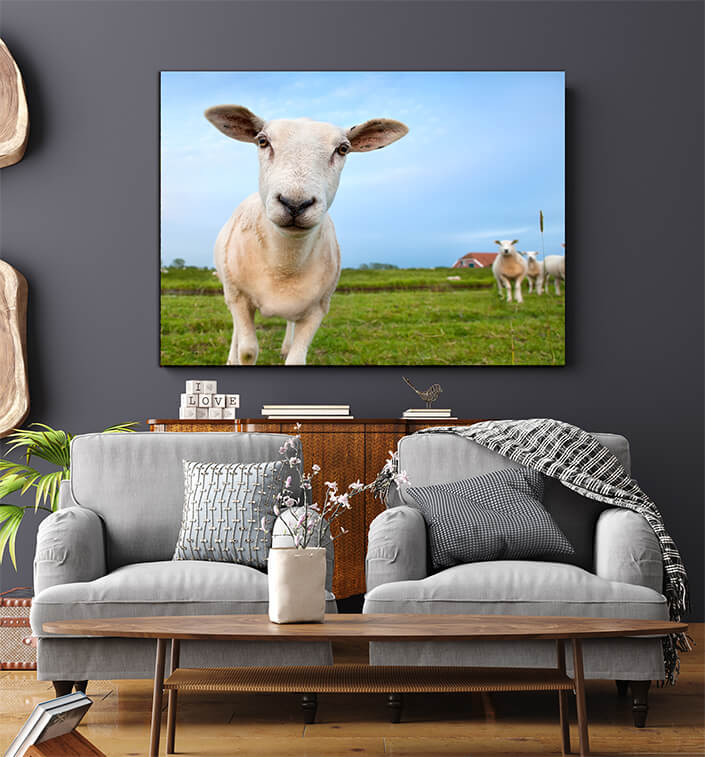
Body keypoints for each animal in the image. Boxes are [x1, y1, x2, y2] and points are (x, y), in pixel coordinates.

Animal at [205, 105, 408, 365]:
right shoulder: (238, 296)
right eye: (262, 141)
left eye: (343, 149)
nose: (295, 204)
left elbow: (296, 359)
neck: (284, 264)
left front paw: (289, 351)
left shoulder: (318, 307)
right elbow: (247, 350)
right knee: (236, 331)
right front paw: (238, 356)